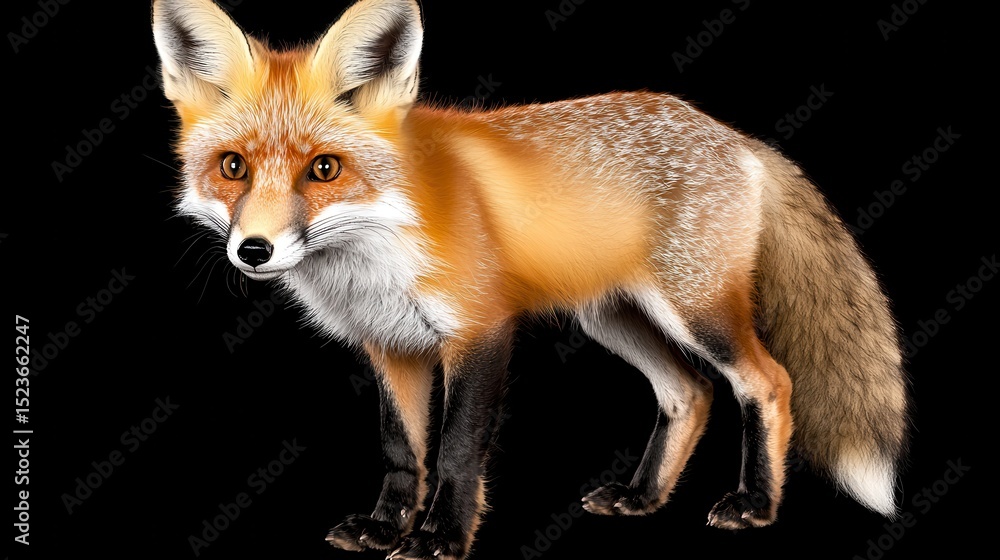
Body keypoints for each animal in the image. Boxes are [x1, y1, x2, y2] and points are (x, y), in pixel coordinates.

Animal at [152, 0, 910, 558]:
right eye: (232, 167)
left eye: (324, 169)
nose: (253, 250)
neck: (374, 250)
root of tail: (735, 136)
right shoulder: (390, 347)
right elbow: (402, 452)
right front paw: (383, 528)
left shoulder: (479, 331)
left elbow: (456, 451)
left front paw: (439, 539)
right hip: (613, 318)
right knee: (689, 392)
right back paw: (641, 498)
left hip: (696, 310)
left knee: (767, 381)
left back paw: (754, 504)